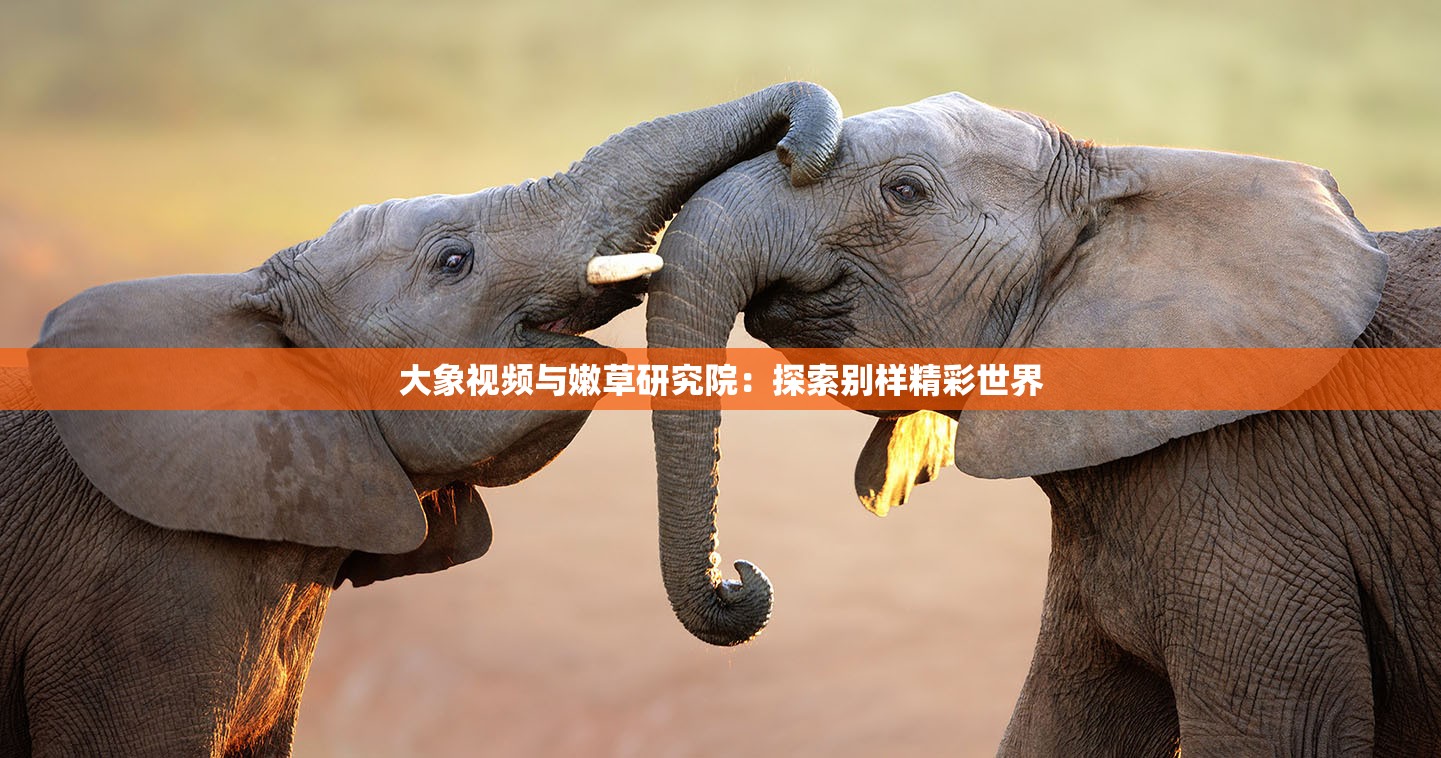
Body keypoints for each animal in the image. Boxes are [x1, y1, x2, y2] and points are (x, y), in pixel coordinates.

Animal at [645, 91, 1441, 756]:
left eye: (904, 192)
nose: (740, 579)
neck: (1118, 183)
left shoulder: (1258, 498)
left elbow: (1281, 734)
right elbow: (1055, 726)